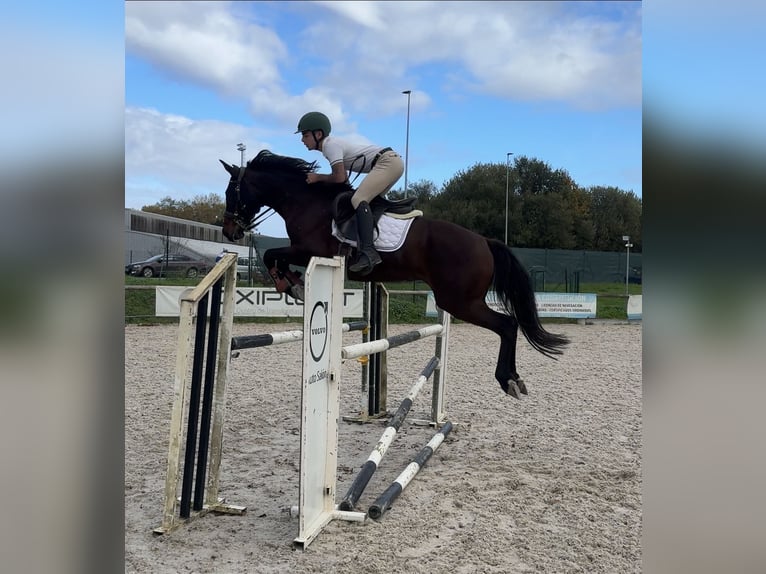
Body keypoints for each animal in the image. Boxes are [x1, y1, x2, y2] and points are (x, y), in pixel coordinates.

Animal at [220, 150, 569, 399]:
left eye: (231, 192)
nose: (229, 231)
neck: (305, 201)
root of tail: (484, 241)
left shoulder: (310, 250)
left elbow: (271, 255)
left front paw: (291, 285)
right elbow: (273, 256)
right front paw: (292, 283)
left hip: (460, 301)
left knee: (507, 325)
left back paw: (508, 380)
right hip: (460, 300)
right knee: (509, 325)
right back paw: (515, 379)